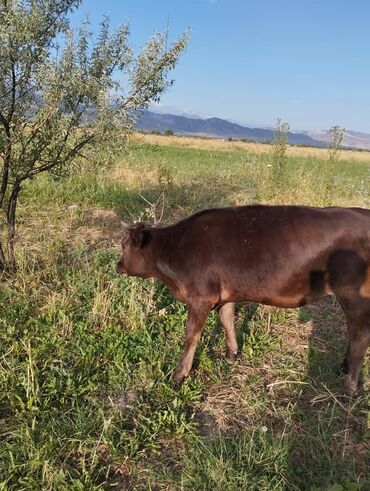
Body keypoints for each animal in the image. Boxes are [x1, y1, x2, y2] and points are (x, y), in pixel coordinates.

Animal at [116, 206, 370, 398]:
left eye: (123, 245)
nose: (118, 266)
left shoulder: (200, 297)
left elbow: (191, 336)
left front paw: (179, 375)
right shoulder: (226, 294)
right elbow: (227, 320)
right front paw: (231, 354)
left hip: (355, 296)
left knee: (359, 338)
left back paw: (349, 388)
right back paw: (344, 368)